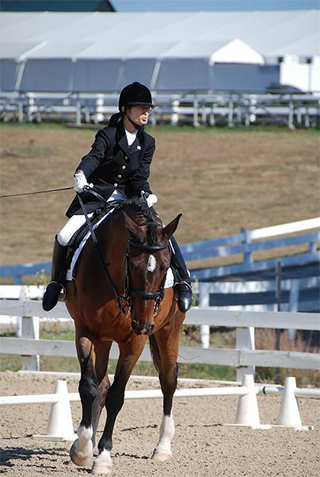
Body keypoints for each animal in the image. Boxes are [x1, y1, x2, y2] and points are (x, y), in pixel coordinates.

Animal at [64, 196, 185, 472]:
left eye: (166, 267)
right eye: (132, 264)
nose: (143, 323)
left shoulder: (134, 341)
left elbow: (117, 396)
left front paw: (103, 457)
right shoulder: (86, 331)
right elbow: (89, 388)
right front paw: (82, 449)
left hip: (169, 330)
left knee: (168, 380)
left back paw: (163, 447)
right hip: (104, 339)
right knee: (101, 384)